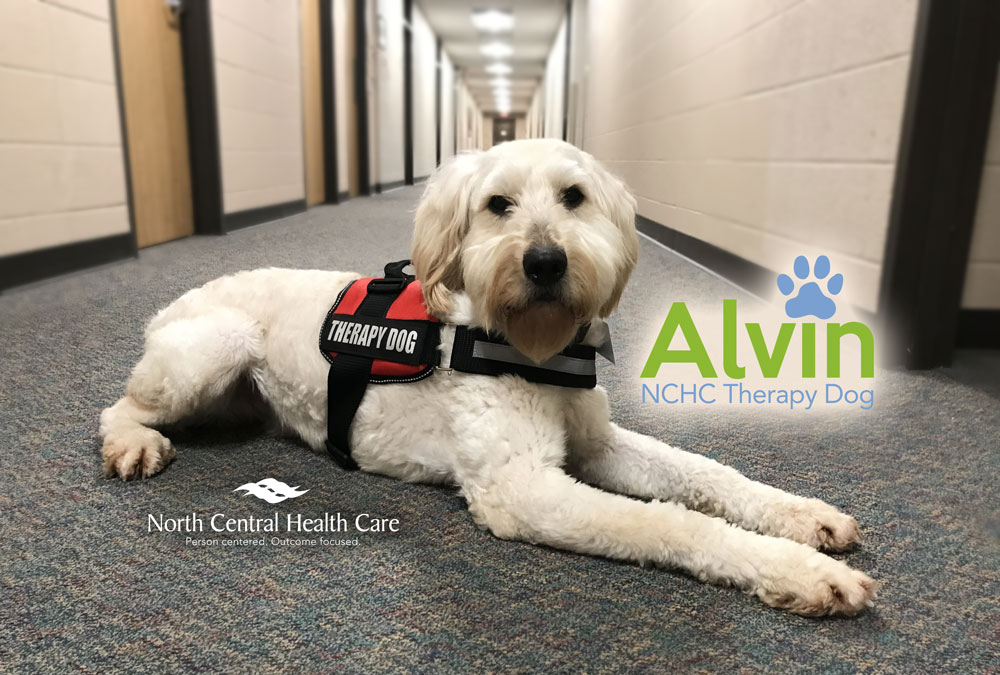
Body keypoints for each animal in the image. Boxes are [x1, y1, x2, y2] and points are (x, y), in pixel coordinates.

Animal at [99, 139, 876, 616]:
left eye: (573, 197)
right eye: (498, 205)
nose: (544, 262)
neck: (531, 348)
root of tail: (174, 301)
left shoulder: (598, 444)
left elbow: (705, 473)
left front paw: (802, 518)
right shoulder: (521, 490)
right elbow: (669, 522)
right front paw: (802, 572)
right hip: (212, 347)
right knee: (118, 406)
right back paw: (133, 442)